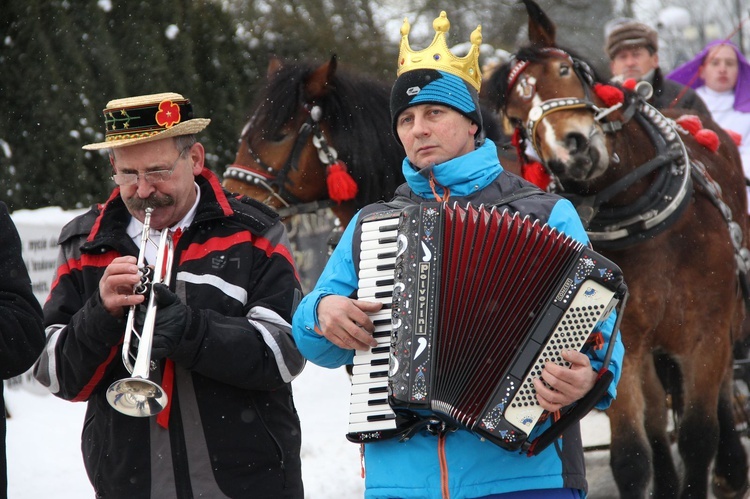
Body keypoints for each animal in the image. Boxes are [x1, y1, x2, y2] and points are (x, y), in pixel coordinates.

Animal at [488, 1, 750, 498]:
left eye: (564, 70)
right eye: (515, 115)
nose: (570, 151)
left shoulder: (705, 333)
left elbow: (698, 434)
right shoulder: (622, 336)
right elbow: (632, 450)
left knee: (724, 393)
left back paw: (730, 469)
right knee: (656, 419)